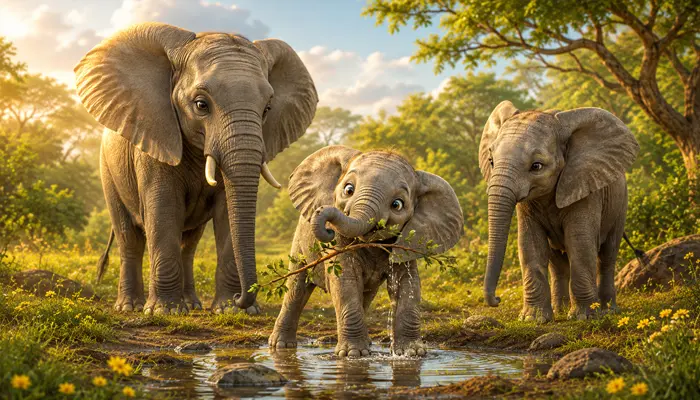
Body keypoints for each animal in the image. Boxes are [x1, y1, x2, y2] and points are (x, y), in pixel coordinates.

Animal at [74, 23, 317, 315]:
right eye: (201, 105)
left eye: (267, 108)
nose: (244, 298)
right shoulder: (156, 134)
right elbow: (163, 209)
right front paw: (165, 311)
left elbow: (227, 213)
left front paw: (230, 310)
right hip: (108, 171)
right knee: (128, 237)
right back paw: (130, 307)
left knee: (188, 244)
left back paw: (192, 305)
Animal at [269, 146, 463, 357]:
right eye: (348, 190)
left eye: (397, 204)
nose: (327, 226)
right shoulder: (339, 242)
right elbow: (345, 281)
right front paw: (353, 355)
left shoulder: (408, 241)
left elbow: (408, 284)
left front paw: (411, 353)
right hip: (299, 244)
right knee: (297, 287)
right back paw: (280, 346)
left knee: (366, 294)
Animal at [479, 100, 639, 322]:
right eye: (491, 161)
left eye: (536, 166)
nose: (497, 299)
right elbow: (529, 244)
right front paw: (534, 319)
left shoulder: (585, 186)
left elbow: (580, 243)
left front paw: (584, 317)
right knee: (557, 262)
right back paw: (560, 310)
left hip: (620, 204)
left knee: (607, 255)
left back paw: (608, 310)